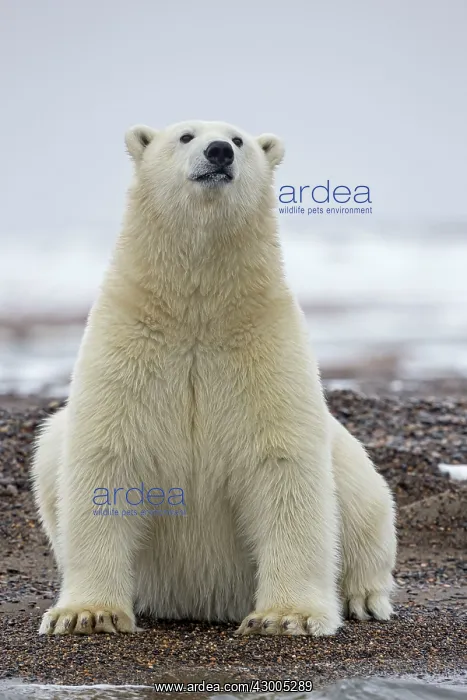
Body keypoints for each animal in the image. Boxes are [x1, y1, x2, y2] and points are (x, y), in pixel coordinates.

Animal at [31, 120, 396, 637]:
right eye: (185, 136)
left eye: (240, 140)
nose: (219, 151)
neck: (198, 315)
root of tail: (203, 601)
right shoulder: (130, 346)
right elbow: (107, 461)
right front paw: (87, 613)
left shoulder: (264, 348)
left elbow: (285, 467)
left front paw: (287, 617)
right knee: (49, 446)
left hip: (349, 463)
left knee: (365, 498)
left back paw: (365, 598)